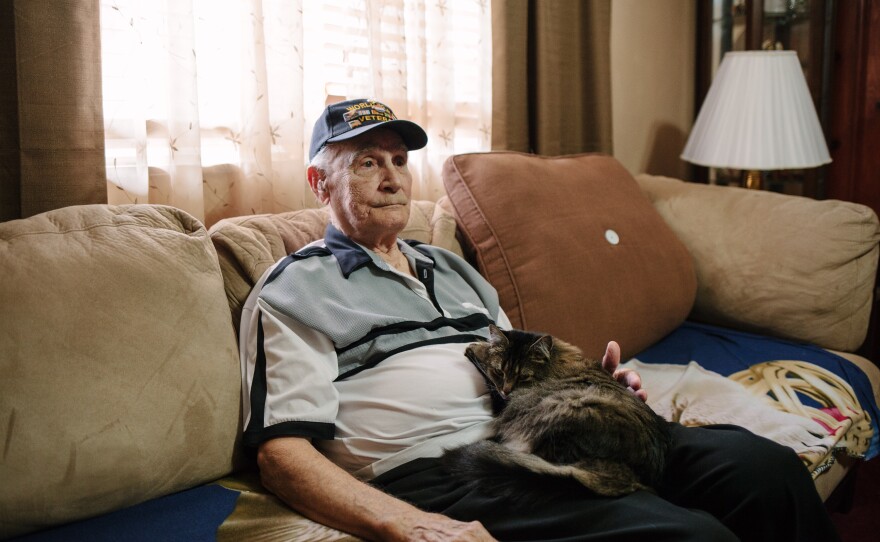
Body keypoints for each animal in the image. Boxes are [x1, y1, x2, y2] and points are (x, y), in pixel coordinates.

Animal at [444, 326, 672, 500]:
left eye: (523, 377)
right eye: (500, 371)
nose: (507, 390)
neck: (555, 361)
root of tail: (628, 474)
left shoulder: (504, 401)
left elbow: (485, 374)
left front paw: (475, 348)